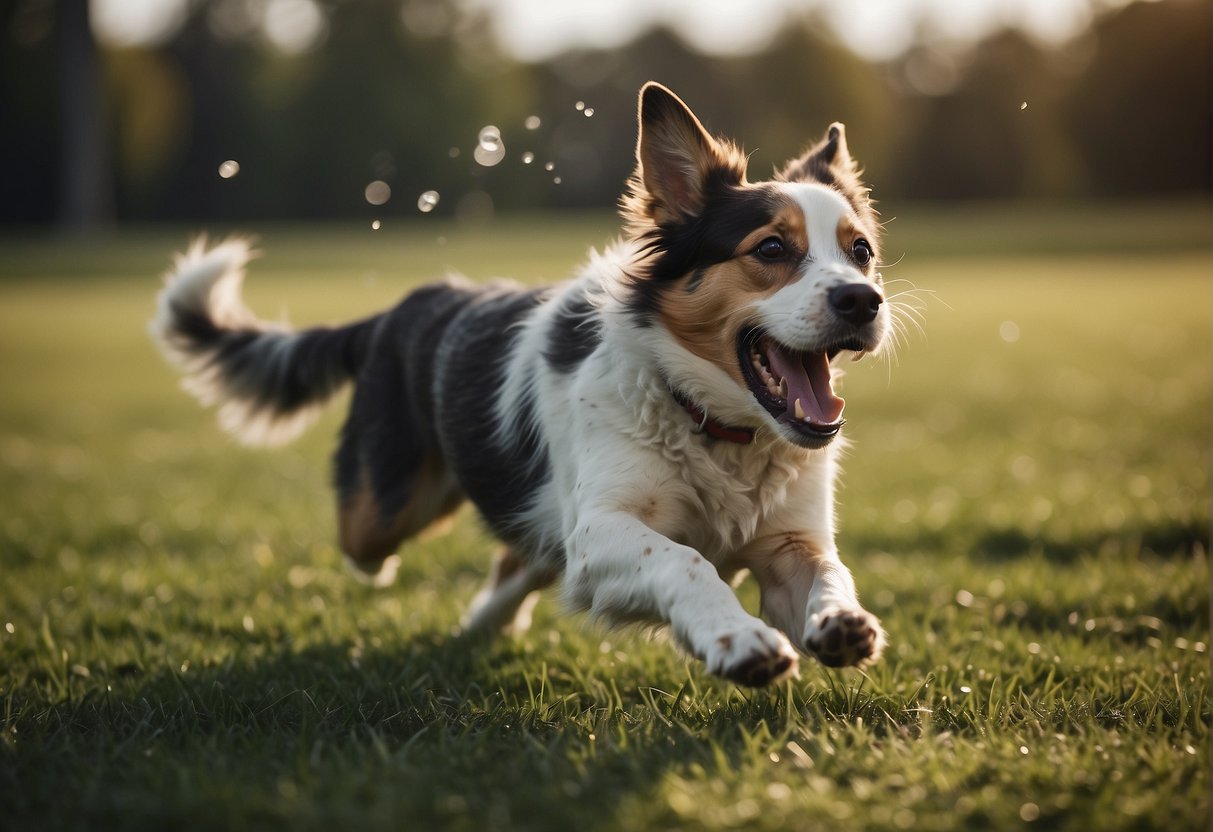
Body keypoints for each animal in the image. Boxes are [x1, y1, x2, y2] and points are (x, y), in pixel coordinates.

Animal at [149, 83, 892, 688]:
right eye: (770, 249)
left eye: (861, 252)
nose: (863, 301)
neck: (714, 427)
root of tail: (400, 308)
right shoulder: (597, 534)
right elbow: (685, 562)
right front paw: (739, 640)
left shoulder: (788, 544)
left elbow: (831, 571)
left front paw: (842, 622)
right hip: (385, 512)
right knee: (375, 548)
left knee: (521, 560)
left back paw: (488, 623)